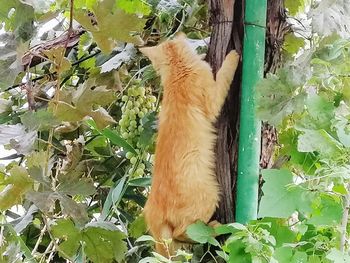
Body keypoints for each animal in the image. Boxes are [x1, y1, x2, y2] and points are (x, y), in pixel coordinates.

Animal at [139, 33, 241, 258]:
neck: (177, 73)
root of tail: (153, 209)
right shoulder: (212, 97)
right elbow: (224, 75)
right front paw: (233, 56)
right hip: (210, 194)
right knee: (182, 231)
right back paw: (215, 228)